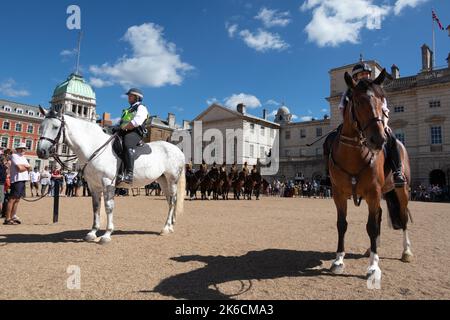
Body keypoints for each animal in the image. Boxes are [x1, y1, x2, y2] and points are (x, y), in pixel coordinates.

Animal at [36, 109, 185, 244]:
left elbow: (108, 207)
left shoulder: (108, 183)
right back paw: (170, 227)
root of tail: (177, 150)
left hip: (172, 179)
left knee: (172, 201)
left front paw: (107, 234)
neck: (94, 147)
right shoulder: (93, 185)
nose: (41, 151)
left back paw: (165, 228)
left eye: (55, 127)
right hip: (162, 180)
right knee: (170, 201)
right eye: (41, 127)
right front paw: (92, 233)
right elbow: (96, 207)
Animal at [326, 70, 414, 282]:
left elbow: (372, 227)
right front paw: (338, 260)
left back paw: (406, 251)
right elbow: (342, 224)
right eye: (357, 102)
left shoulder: (373, 193)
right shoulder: (339, 194)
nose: (378, 140)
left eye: (382, 101)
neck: (353, 154)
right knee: (380, 216)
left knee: (402, 218)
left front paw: (374, 267)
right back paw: (372, 248)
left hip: (402, 191)